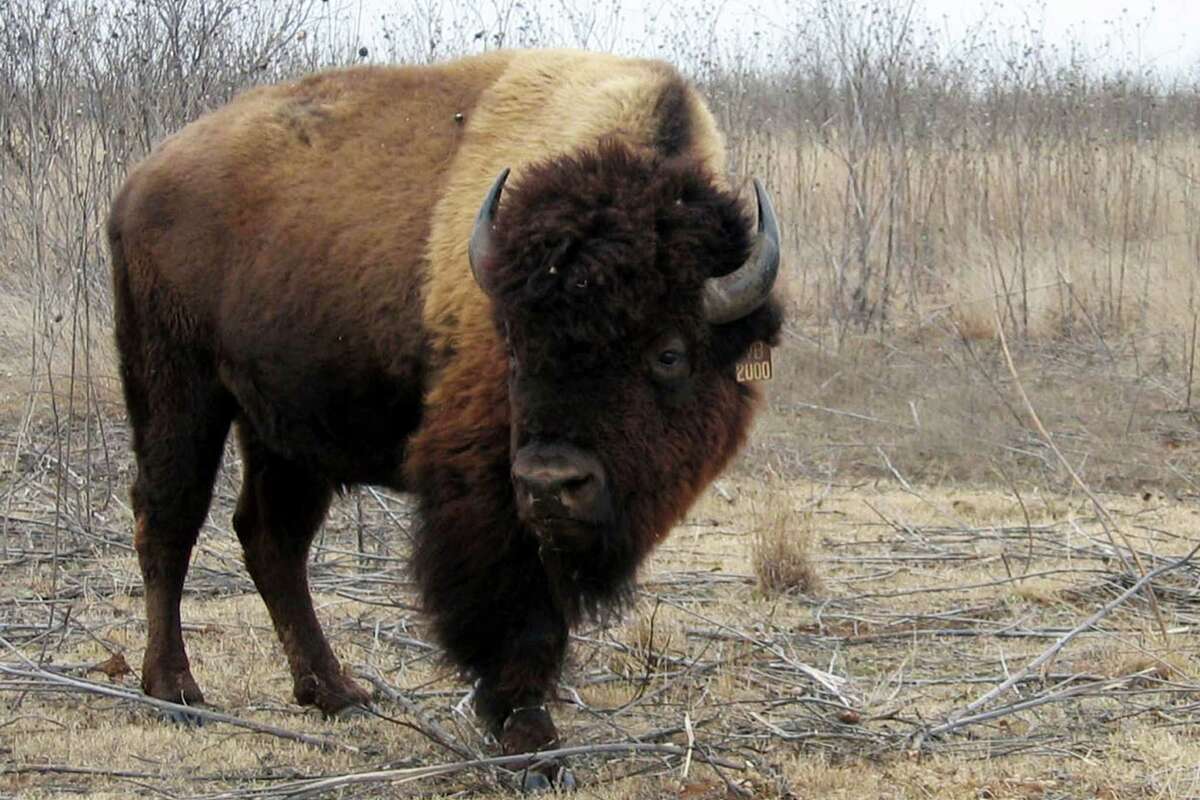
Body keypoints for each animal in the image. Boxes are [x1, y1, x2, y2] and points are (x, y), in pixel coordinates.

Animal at [108, 49, 782, 787]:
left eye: (669, 352)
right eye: (513, 344)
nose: (553, 482)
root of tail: (142, 179)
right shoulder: (487, 490)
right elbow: (516, 609)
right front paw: (531, 743)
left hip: (283, 431)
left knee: (270, 540)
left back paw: (335, 692)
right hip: (177, 391)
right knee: (168, 522)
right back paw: (175, 691)